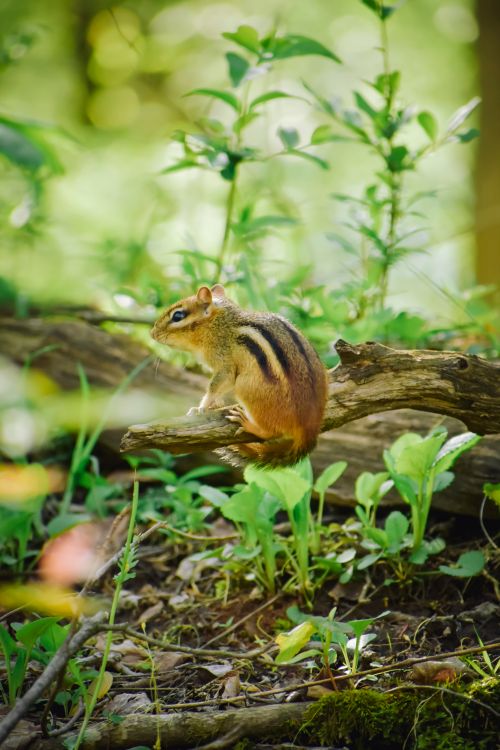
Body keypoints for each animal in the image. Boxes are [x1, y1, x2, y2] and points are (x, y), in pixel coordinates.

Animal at [151, 284, 328, 467]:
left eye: (178, 316)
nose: (152, 333)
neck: (220, 324)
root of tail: (308, 430)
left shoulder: (225, 363)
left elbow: (216, 385)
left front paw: (201, 407)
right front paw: (213, 404)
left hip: (245, 386)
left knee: (271, 432)